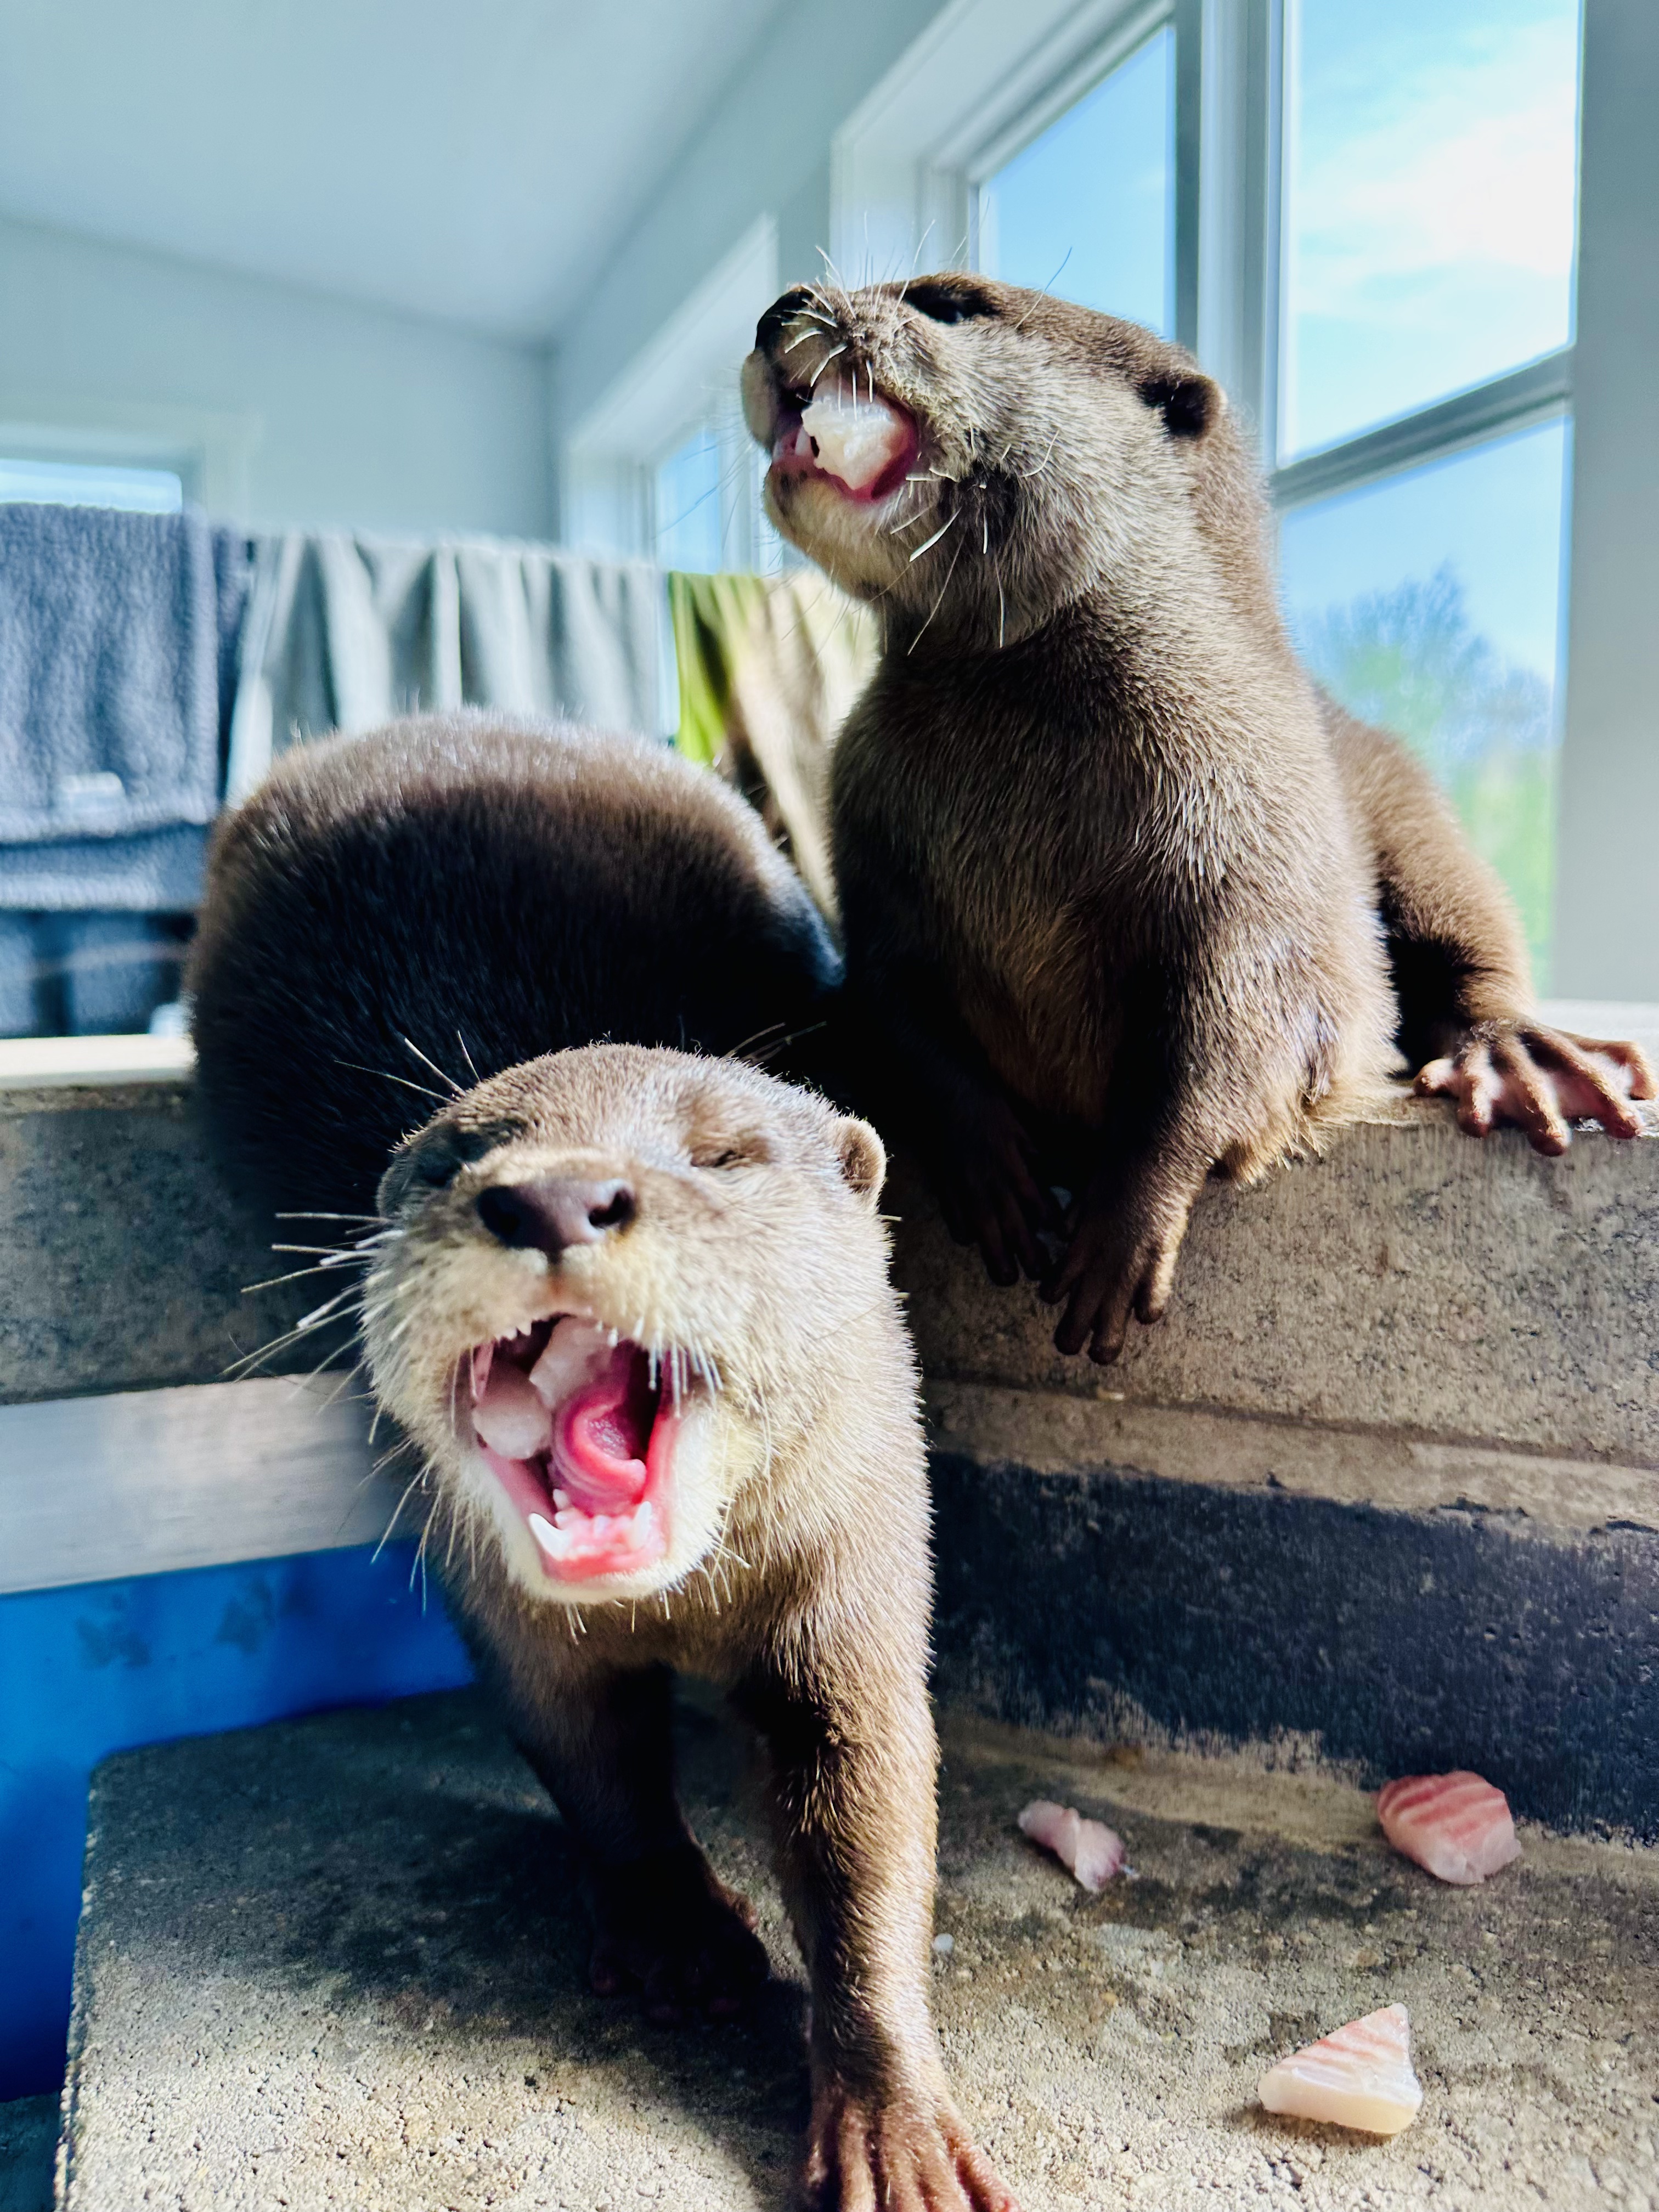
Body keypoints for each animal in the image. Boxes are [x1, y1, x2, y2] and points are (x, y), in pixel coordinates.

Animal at [188, 715, 1015, 2212]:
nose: (556, 1193)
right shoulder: (502, 1606)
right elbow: (584, 1756)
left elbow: (868, 1811)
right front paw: (679, 1931)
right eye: (456, 1154)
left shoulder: (859, 1558)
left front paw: (893, 2124)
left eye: (727, 1155)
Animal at [742, 273, 1655, 1364]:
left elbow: (1231, 1032)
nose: (782, 305)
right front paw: (991, 1167)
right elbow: (892, 1002)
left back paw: (1519, 1055)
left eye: (949, 302)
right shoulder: (869, 845)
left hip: (1397, 795)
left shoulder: (1255, 843)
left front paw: (1125, 1223)